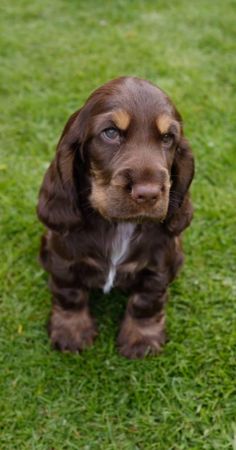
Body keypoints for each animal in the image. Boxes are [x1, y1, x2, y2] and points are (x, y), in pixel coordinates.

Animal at [37, 76, 195, 358]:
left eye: (168, 137)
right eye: (111, 133)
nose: (148, 193)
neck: (119, 225)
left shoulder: (158, 269)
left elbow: (146, 302)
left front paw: (142, 339)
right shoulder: (63, 261)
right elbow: (70, 294)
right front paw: (71, 332)